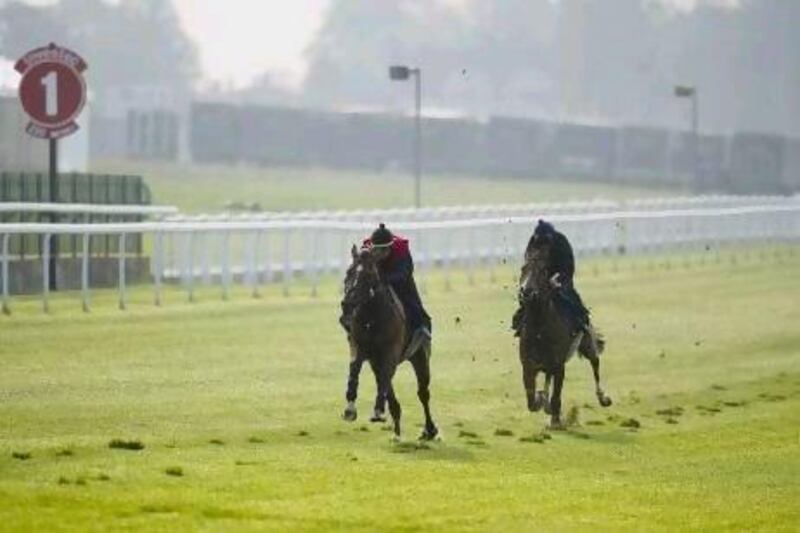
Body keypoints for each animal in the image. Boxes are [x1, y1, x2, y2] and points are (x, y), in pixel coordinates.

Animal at [338, 245, 438, 440]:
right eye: (349, 271)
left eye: (369, 274)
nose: (347, 304)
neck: (371, 317)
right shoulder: (359, 347)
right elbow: (354, 370)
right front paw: (350, 409)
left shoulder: (390, 353)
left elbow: (385, 378)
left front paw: (377, 411)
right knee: (389, 389)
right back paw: (397, 430)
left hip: (420, 356)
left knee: (423, 393)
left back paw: (429, 430)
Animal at [520, 241, 612, 428]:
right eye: (523, 269)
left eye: (542, 272)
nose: (526, 291)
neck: (539, 330)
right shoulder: (528, 366)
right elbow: (531, 401)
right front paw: (542, 401)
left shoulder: (559, 366)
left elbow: (556, 395)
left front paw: (555, 420)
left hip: (586, 343)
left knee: (595, 363)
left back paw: (603, 397)